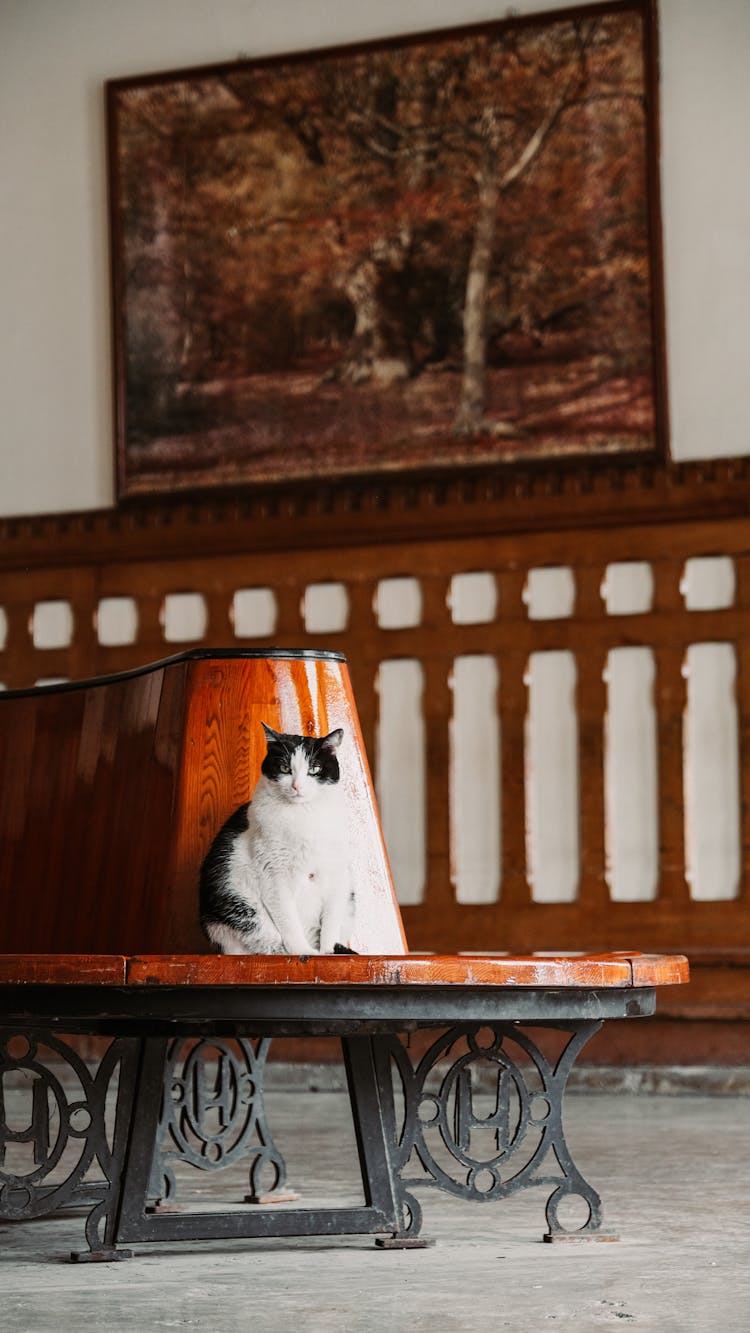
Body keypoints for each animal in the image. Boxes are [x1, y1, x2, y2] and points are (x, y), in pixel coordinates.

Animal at [201, 725, 357, 954]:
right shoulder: (274, 875)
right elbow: (288, 920)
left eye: (314, 769)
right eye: (284, 767)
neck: (304, 816)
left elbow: (331, 920)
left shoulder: (337, 872)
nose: (297, 786)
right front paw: (304, 952)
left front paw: (327, 952)